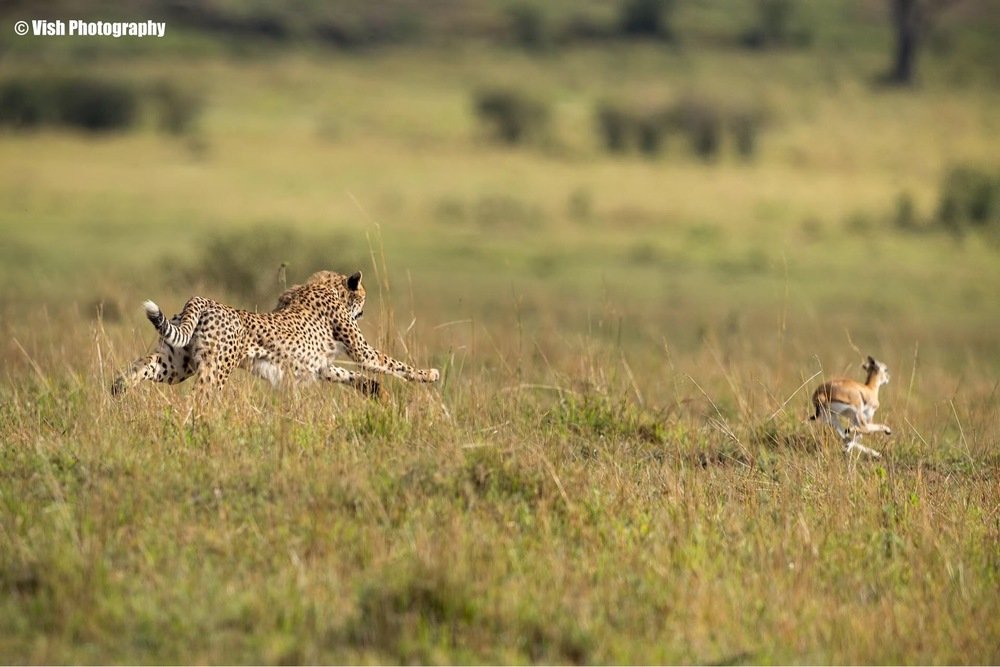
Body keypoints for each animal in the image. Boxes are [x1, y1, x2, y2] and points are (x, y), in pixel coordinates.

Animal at [111, 270, 439, 400]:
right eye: (363, 297)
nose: (364, 310)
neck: (323, 287)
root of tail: (201, 300)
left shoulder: (319, 365)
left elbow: (350, 375)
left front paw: (374, 390)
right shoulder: (361, 351)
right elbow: (392, 363)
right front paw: (430, 374)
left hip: (177, 365)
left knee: (141, 367)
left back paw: (118, 389)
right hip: (215, 369)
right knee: (201, 399)